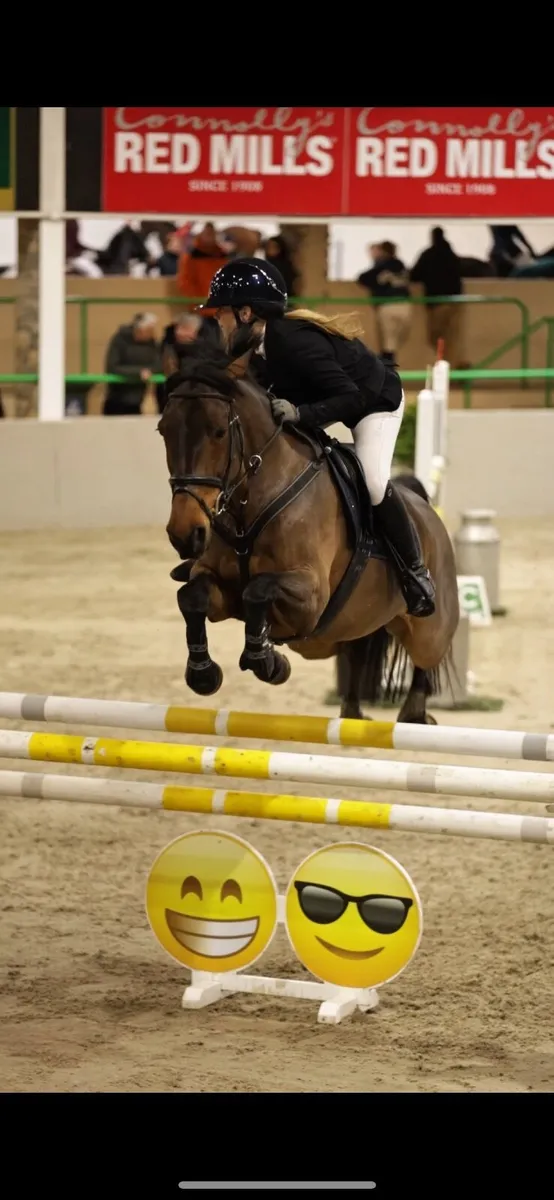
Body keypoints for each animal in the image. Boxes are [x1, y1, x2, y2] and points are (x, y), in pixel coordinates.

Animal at [158, 330, 460, 725]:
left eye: (219, 432)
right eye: (163, 430)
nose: (184, 533)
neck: (250, 502)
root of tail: (427, 511)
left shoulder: (310, 595)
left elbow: (258, 590)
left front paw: (267, 660)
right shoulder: (219, 587)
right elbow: (192, 597)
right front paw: (204, 673)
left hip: (429, 628)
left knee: (427, 661)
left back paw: (414, 711)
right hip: (354, 624)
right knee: (357, 655)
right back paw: (354, 710)